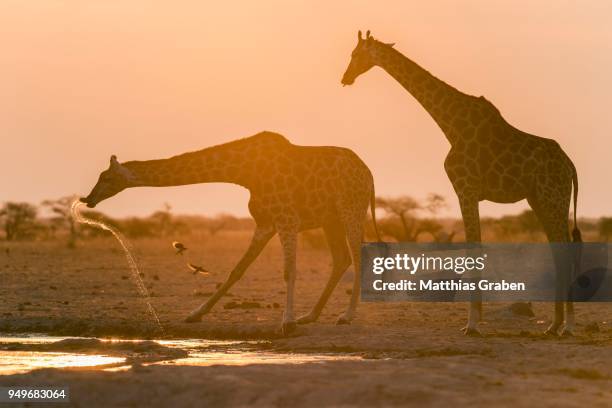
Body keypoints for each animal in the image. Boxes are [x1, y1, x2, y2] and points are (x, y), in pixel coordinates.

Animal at [79, 131, 380, 334]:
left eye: (107, 177)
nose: (87, 199)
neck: (244, 173)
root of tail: (369, 174)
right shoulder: (265, 223)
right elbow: (237, 269)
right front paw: (195, 314)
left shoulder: (286, 219)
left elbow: (288, 270)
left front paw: (287, 323)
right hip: (331, 219)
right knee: (341, 259)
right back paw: (311, 315)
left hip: (351, 209)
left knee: (356, 257)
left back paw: (346, 316)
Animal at [342, 31, 580, 338]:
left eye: (356, 54)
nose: (345, 77)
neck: (451, 125)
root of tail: (570, 165)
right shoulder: (470, 193)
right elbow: (475, 247)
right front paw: (475, 320)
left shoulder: (465, 189)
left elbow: (472, 249)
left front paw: (472, 324)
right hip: (539, 200)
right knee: (557, 251)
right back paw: (554, 325)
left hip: (554, 198)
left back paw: (568, 326)